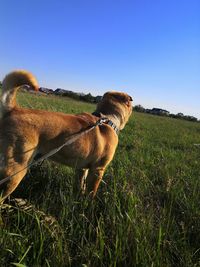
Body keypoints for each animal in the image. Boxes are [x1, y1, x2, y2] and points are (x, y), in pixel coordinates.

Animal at [0, 70, 133, 202]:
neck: (107, 118)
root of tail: (13, 110)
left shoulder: (82, 169)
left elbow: (81, 185)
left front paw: (79, 198)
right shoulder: (98, 169)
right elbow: (91, 192)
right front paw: (88, 203)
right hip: (15, 171)